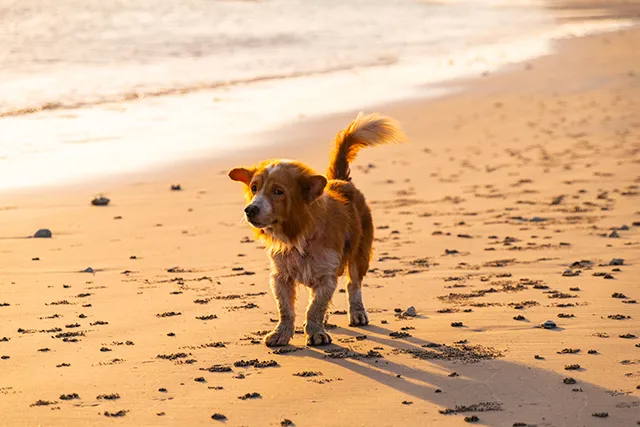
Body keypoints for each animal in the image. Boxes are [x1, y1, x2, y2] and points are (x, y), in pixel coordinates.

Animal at [228, 114, 402, 348]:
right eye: (254, 188)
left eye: (278, 192)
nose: (250, 210)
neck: (298, 237)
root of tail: (341, 180)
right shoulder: (281, 277)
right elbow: (286, 309)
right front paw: (281, 334)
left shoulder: (326, 275)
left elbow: (315, 307)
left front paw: (316, 333)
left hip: (360, 254)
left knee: (353, 285)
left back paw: (357, 313)